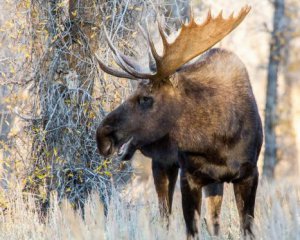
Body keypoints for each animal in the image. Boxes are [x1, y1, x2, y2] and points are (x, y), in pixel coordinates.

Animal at [96, 5, 262, 238]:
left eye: (146, 98)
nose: (102, 135)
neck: (218, 141)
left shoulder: (249, 173)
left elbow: (245, 227)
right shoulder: (189, 175)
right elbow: (191, 229)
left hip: (212, 181)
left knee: (212, 221)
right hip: (163, 164)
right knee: (164, 216)